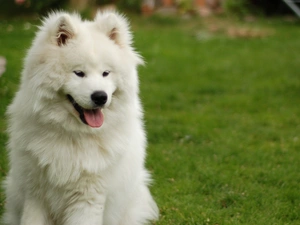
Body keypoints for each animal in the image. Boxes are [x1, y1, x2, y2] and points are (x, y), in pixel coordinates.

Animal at [3, 11, 158, 225]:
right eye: (79, 73)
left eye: (105, 73)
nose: (100, 96)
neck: (73, 135)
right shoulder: (35, 194)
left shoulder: (88, 196)